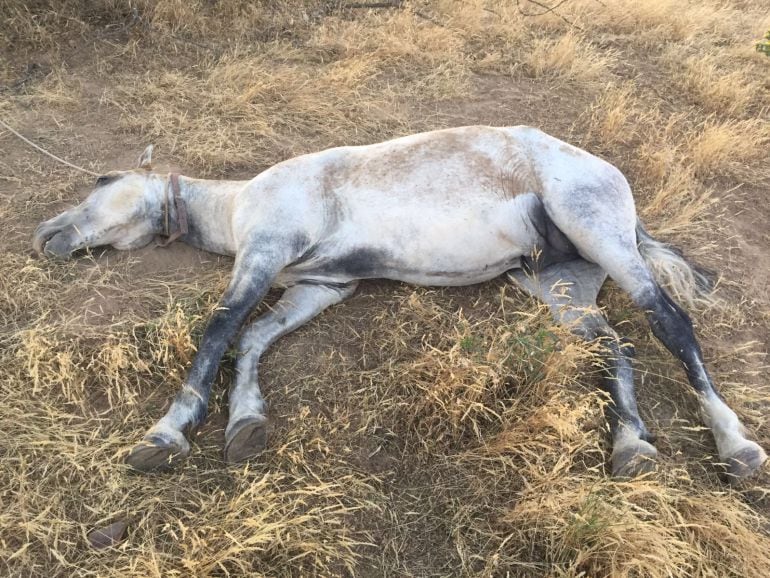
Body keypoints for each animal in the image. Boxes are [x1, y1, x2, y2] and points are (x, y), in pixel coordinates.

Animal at [33, 128, 764, 480]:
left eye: (102, 181)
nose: (46, 236)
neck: (240, 204)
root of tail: (610, 178)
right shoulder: (319, 288)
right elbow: (255, 338)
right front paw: (245, 423)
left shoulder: (263, 257)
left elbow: (218, 333)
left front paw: (166, 434)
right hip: (560, 287)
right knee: (618, 346)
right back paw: (631, 445)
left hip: (603, 238)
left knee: (671, 323)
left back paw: (736, 446)